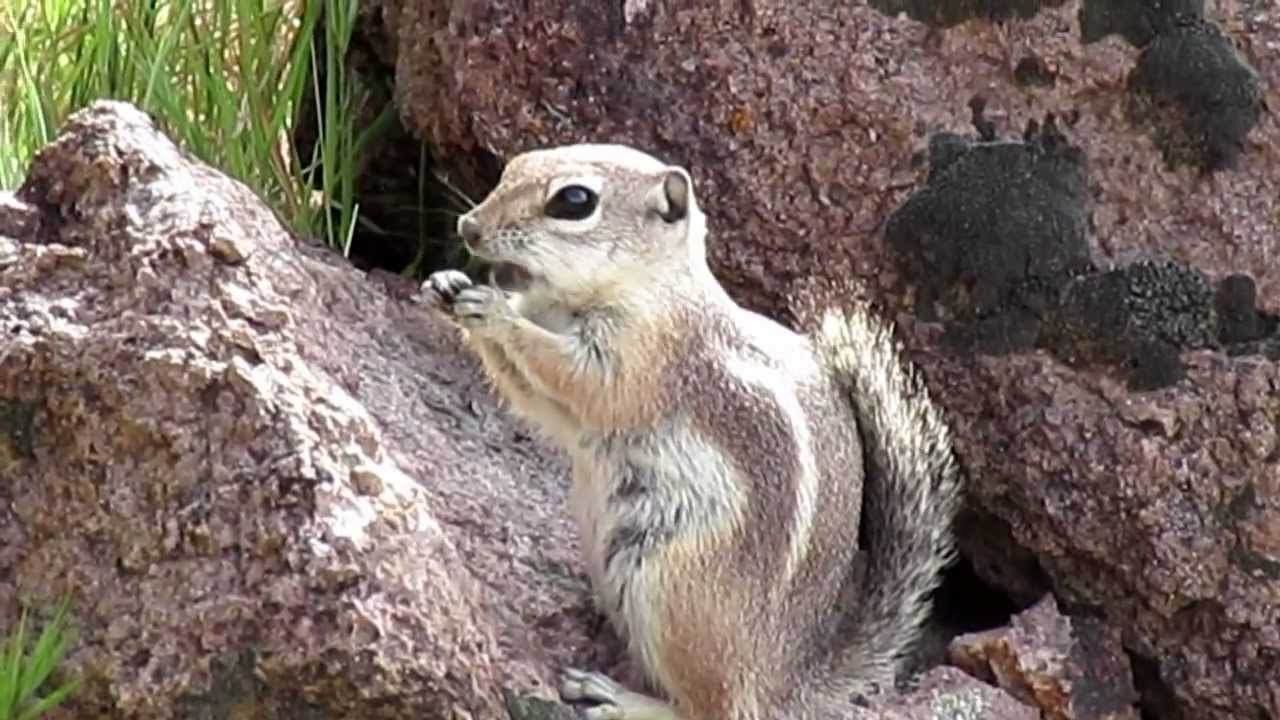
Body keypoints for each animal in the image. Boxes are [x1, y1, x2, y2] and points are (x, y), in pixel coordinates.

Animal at [419, 142, 962, 712]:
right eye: (513, 166)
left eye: (574, 201)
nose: (469, 227)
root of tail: (784, 682)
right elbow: (534, 396)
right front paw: (447, 286)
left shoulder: (645, 358)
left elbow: (575, 376)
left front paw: (494, 310)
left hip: (674, 590)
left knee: (709, 707)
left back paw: (617, 699)